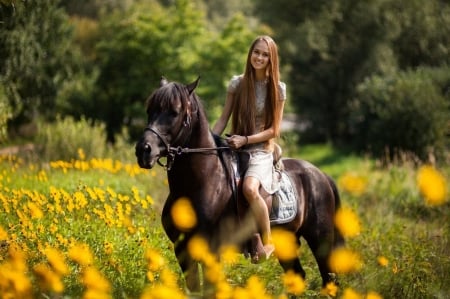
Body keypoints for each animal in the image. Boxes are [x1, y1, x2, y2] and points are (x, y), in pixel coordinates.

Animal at [135, 78, 342, 296]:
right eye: (149, 110)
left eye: (174, 112)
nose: (144, 150)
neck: (198, 185)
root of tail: (322, 176)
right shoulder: (182, 249)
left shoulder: (211, 252)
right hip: (288, 241)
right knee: (298, 275)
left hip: (321, 240)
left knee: (330, 278)